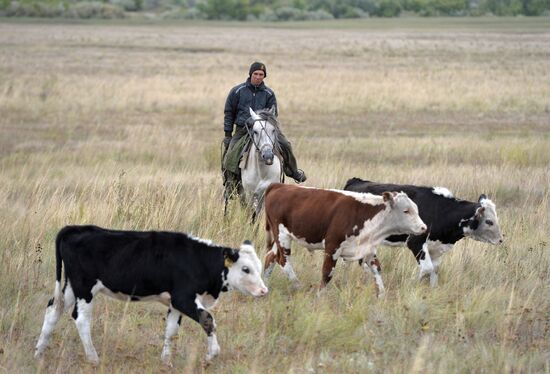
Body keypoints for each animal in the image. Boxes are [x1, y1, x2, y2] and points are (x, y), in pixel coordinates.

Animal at [35, 225, 270, 366]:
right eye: (246, 269)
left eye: (259, 267)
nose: (264, 291)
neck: (198, 259)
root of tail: (77, 228)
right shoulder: (183, 298)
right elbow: (207, 319)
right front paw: (211, 354)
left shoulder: (175, 303)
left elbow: (171, 330)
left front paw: (166, 362)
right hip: (85, 288)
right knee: (81, 319)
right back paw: (93, 358)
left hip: (70, 287)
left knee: (53, 309)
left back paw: (39, 352)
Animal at [264, 183, 426, 296]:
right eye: (406, 211)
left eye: (417, 209)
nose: (423, 227)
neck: (363, 214)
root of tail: (280, 185)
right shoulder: (332, 246)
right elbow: (327, 273)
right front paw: (320, 296)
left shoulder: (368, 249)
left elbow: (377, 269)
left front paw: (382, 294)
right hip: (282, 236)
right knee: (283, 260)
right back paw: (297, 284)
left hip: (279, 238)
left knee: (270, 257)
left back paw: (266, 283)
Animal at [348, 178, 506, 286]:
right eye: (489, 221)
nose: (500, 239)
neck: (442, 211)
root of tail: (356, 181)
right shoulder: (415, 242)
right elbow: (426, 268)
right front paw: (412, 283)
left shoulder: (436, 247)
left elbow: (434, 270)